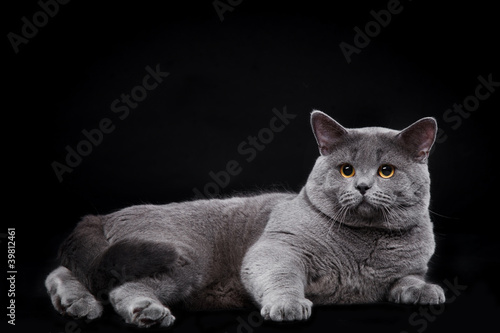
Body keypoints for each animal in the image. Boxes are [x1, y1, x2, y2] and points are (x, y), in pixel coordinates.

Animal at [46, 110, 446, 326]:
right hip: (179, 256)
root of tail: (104, 216)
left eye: (386, 171)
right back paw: (145, 311)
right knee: (116, 285)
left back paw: (74, 303)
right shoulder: (279, 246)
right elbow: (281, 274)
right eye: (346, 169)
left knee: (75, 271)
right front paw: (287, 305)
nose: (362, 185)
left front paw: (427, 291)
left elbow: (407, 279)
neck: (364, 242)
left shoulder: (407, 268)